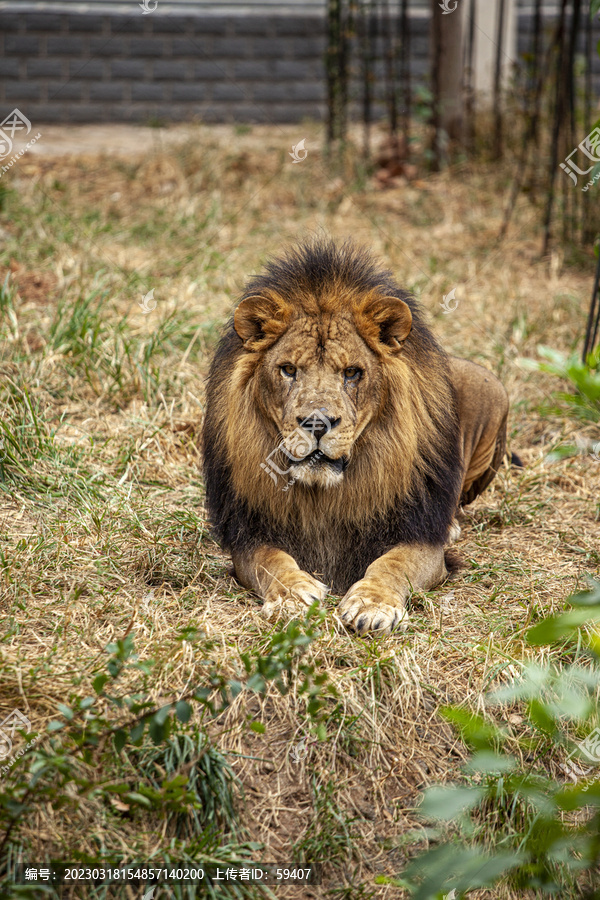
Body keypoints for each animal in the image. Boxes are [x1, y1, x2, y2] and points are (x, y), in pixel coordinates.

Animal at [200, 239, 506, 632]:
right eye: (288, 369)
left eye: (351, 372)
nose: (317, 424)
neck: (326, 494)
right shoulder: (250, 533)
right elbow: (272, 560)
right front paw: (292, 595)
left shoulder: (420, 540)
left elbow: (393, 564)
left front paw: (372, 605)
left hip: (492, 391)